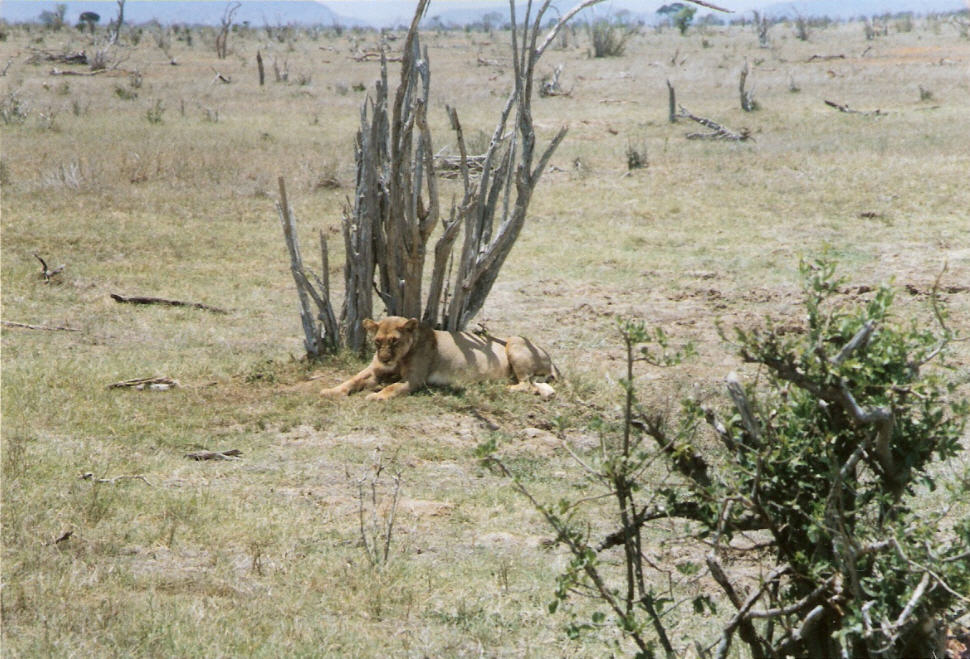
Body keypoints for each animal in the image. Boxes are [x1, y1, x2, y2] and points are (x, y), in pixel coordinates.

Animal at [320, 317, 559, 401]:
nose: (385, 359)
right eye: (378, 342)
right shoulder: (374, 370)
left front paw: (376, 395)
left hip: (515, 342)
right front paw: (330, 391)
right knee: (538, 386)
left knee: (525, 384)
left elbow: (392, 387)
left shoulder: (415, 380)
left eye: (395, 341)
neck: (400, 357)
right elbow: (352, 380)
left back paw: (497, 386)